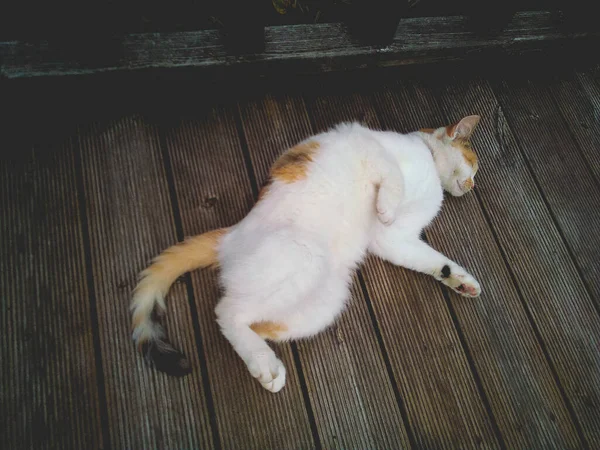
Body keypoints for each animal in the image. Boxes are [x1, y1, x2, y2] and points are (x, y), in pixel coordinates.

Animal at [130, 114, 482, 392]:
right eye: (473, 163)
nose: (473, 186)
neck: (429, 164)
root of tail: (230, 237)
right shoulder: (370, 145)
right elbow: (392, 178)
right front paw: (386, 206)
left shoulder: (393, 240)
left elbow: (432, 261)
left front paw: (462, 281)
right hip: (304, 256)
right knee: (226, 311)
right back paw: (264, 363)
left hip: (325, 301)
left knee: (255, 320)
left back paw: (265, 363)